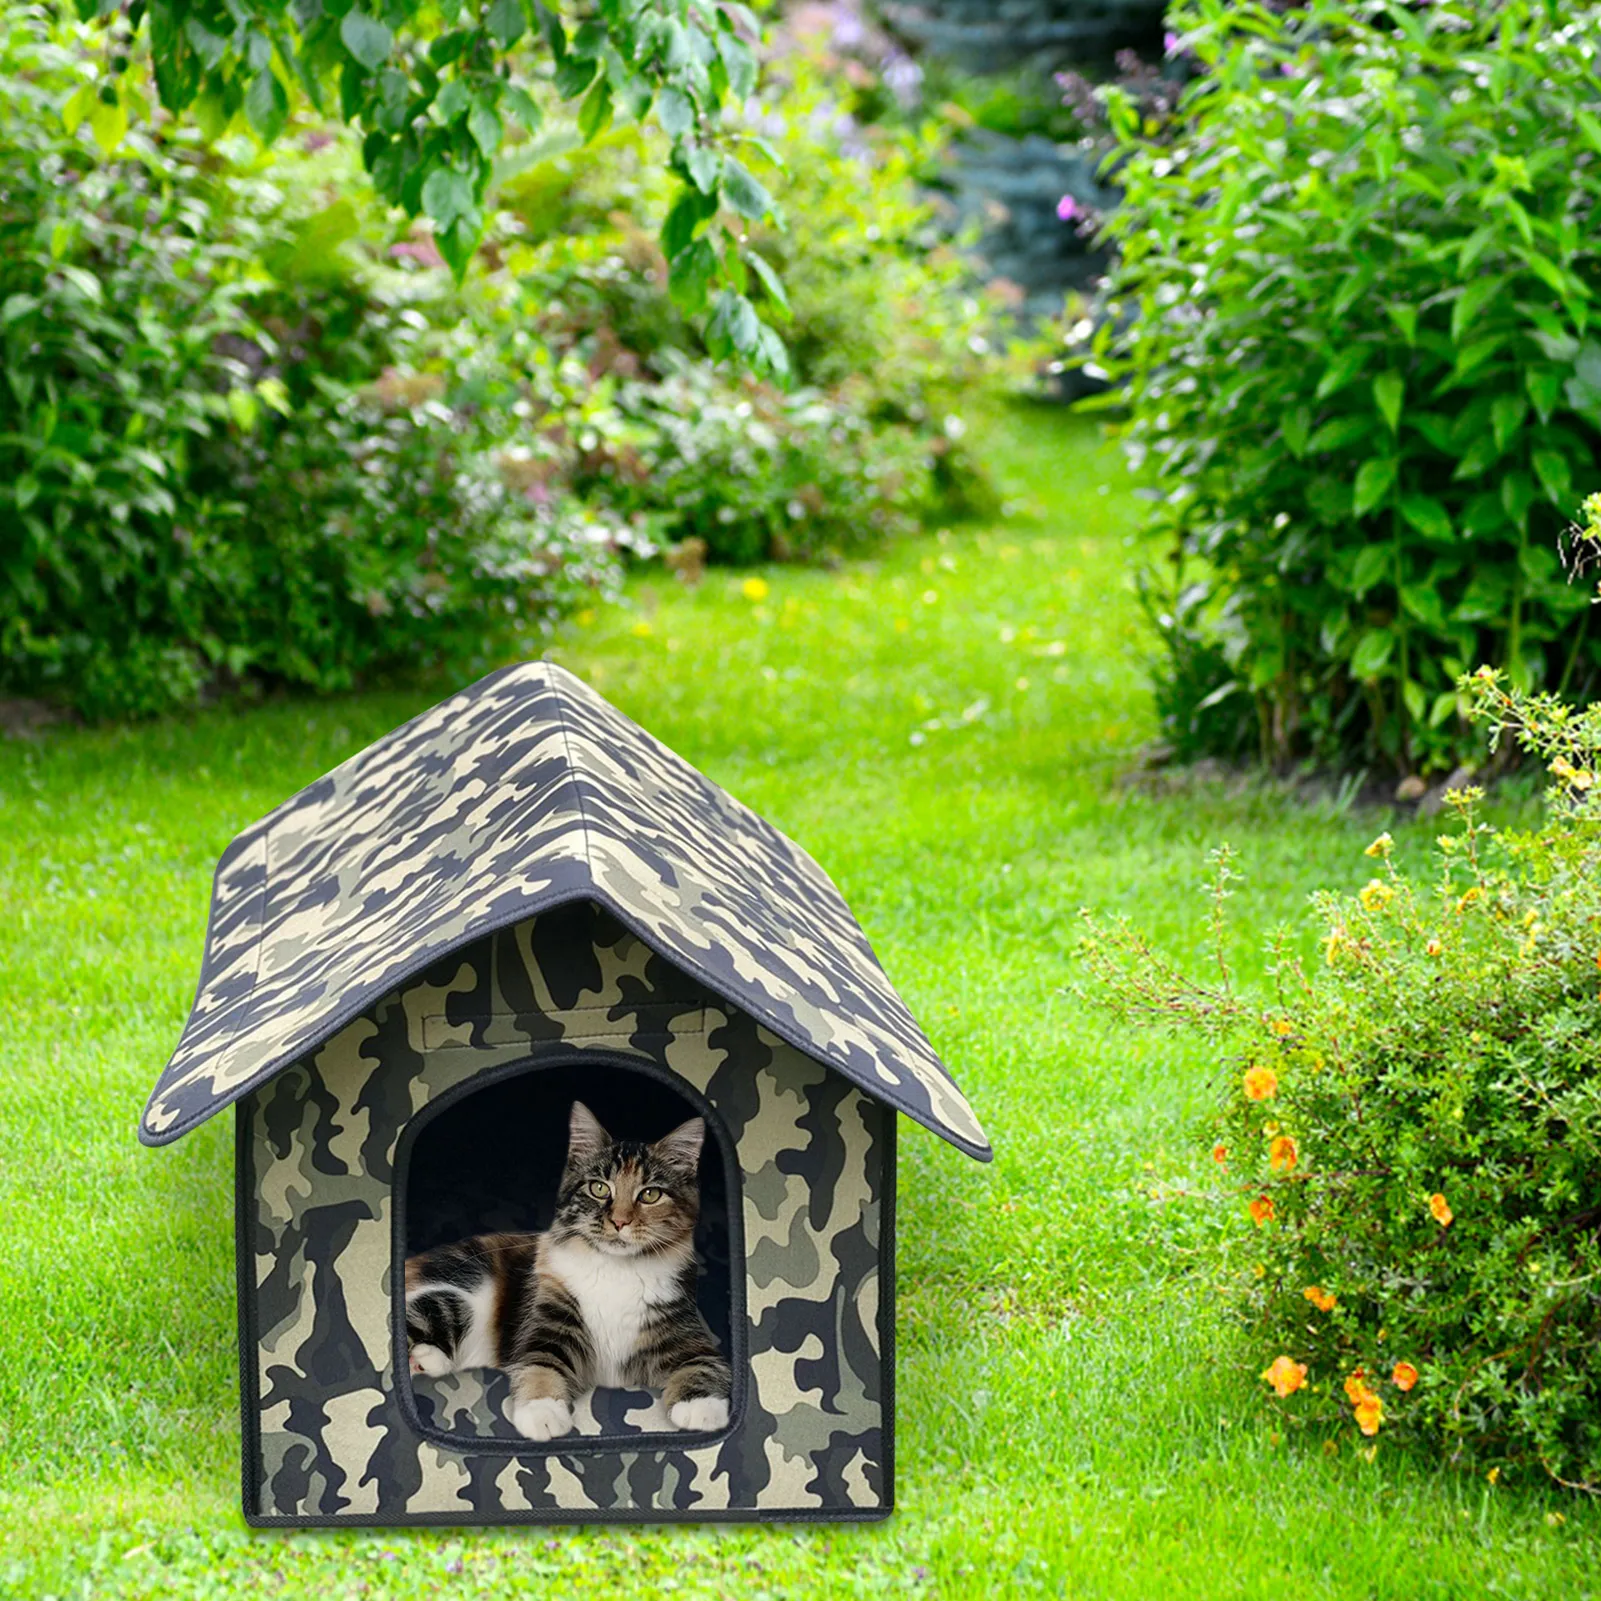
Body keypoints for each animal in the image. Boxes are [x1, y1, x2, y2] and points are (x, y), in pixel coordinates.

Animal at [404, 1099, 732, 1442]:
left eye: (650, 1194)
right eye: (599, 1188)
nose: (620, 1221)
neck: (617, 1271)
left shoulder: (685, 1331)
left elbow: (702, 1365)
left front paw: (701, 1409)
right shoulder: (549, 1321)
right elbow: (542, 1365)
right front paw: (543, 1413)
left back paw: (425, 1362)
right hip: (457, 1296)